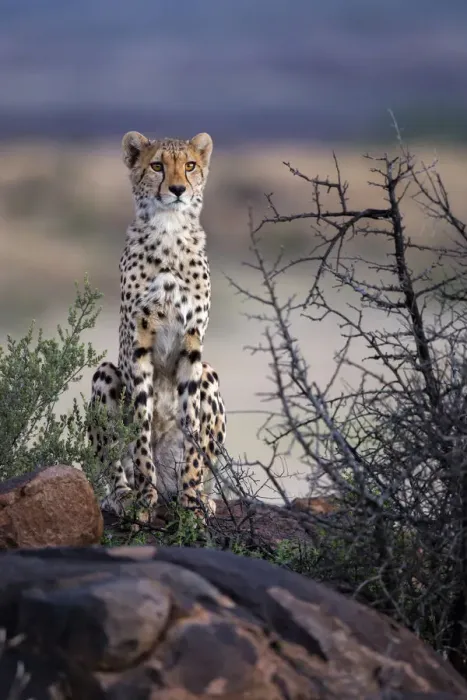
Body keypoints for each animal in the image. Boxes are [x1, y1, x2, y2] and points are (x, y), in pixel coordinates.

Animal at [88, 130, 226, 520]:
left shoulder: (193, 346)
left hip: (210, 373)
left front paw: (192, 500)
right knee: (114, 464)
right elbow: (140, 430)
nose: (178, 189)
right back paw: (124, 496)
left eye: (190, 165)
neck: (169, 230)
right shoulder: (138, 346)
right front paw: (144, 499)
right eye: (157, 166)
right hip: (105, 373)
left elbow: (191, 428)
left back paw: (201, 495)